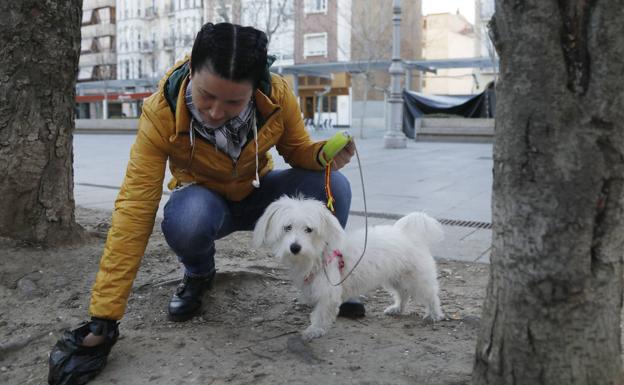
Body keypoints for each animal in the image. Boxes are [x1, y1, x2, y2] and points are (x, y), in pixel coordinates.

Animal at [251, 196, 446, 338]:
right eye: (287, 227)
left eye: (309, 229)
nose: (295, 247)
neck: (319, 254)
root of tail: (409, 234)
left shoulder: (329, 293)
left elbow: (321, 313)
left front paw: (315, 330)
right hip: (395, 277)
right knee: (403, 294)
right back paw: (397, 308)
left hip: (418, 278)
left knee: (431, 296)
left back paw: (435, 314)